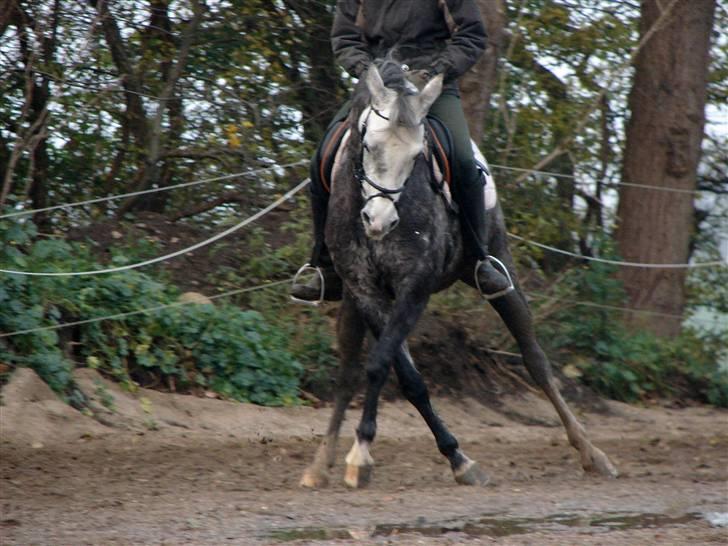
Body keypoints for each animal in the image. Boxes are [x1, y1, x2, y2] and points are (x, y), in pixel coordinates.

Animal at [298, 61, 616, 486]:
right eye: (368, 146)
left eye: (418, 154)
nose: (379, 221)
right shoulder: (366, 290)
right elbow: (402, 374)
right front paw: (450, 456)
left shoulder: (414, 288)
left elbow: (381, 364)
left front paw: (364, 454)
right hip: (352, 300)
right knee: (348, 370)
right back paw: (319, 463)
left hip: (498, 269)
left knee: (535, 359)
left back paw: (592, 453)